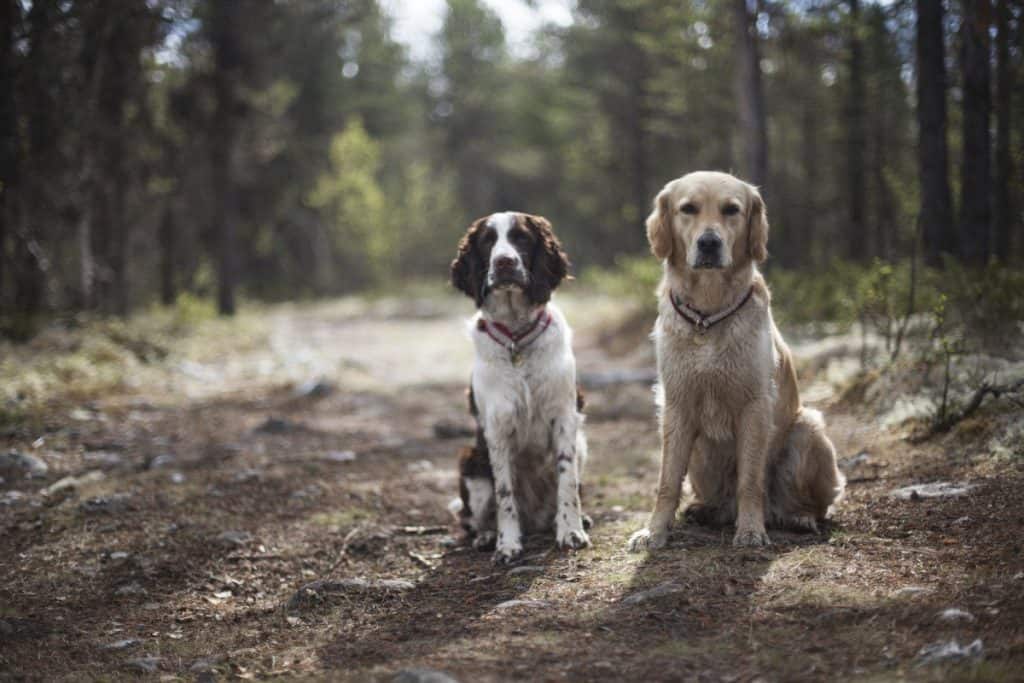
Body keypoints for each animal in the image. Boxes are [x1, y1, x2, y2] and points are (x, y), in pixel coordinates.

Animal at [450, 210, 593, 565]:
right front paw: (507, 544)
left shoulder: (564, 417)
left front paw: (571, 531)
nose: (504, 262)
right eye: (488, 241)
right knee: (470, 520)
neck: (517, 336)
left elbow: (567, 479)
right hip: (471, 464)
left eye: (522, 238)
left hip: (582, 444)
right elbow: (504, 493)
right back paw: (487, 535)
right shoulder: (496, 427)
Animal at [626, 174, 843, 552]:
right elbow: (667, 481)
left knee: (809, 503)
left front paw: (751, 530)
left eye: (731, 210)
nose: (709, 243)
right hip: (699, 452)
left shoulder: (755, 405)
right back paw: (705, 511)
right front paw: (654, 532)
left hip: (808, 428)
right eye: (688, 209)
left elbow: (750, 480)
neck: (708, 314)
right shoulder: (677, 405)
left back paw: (797, 517)